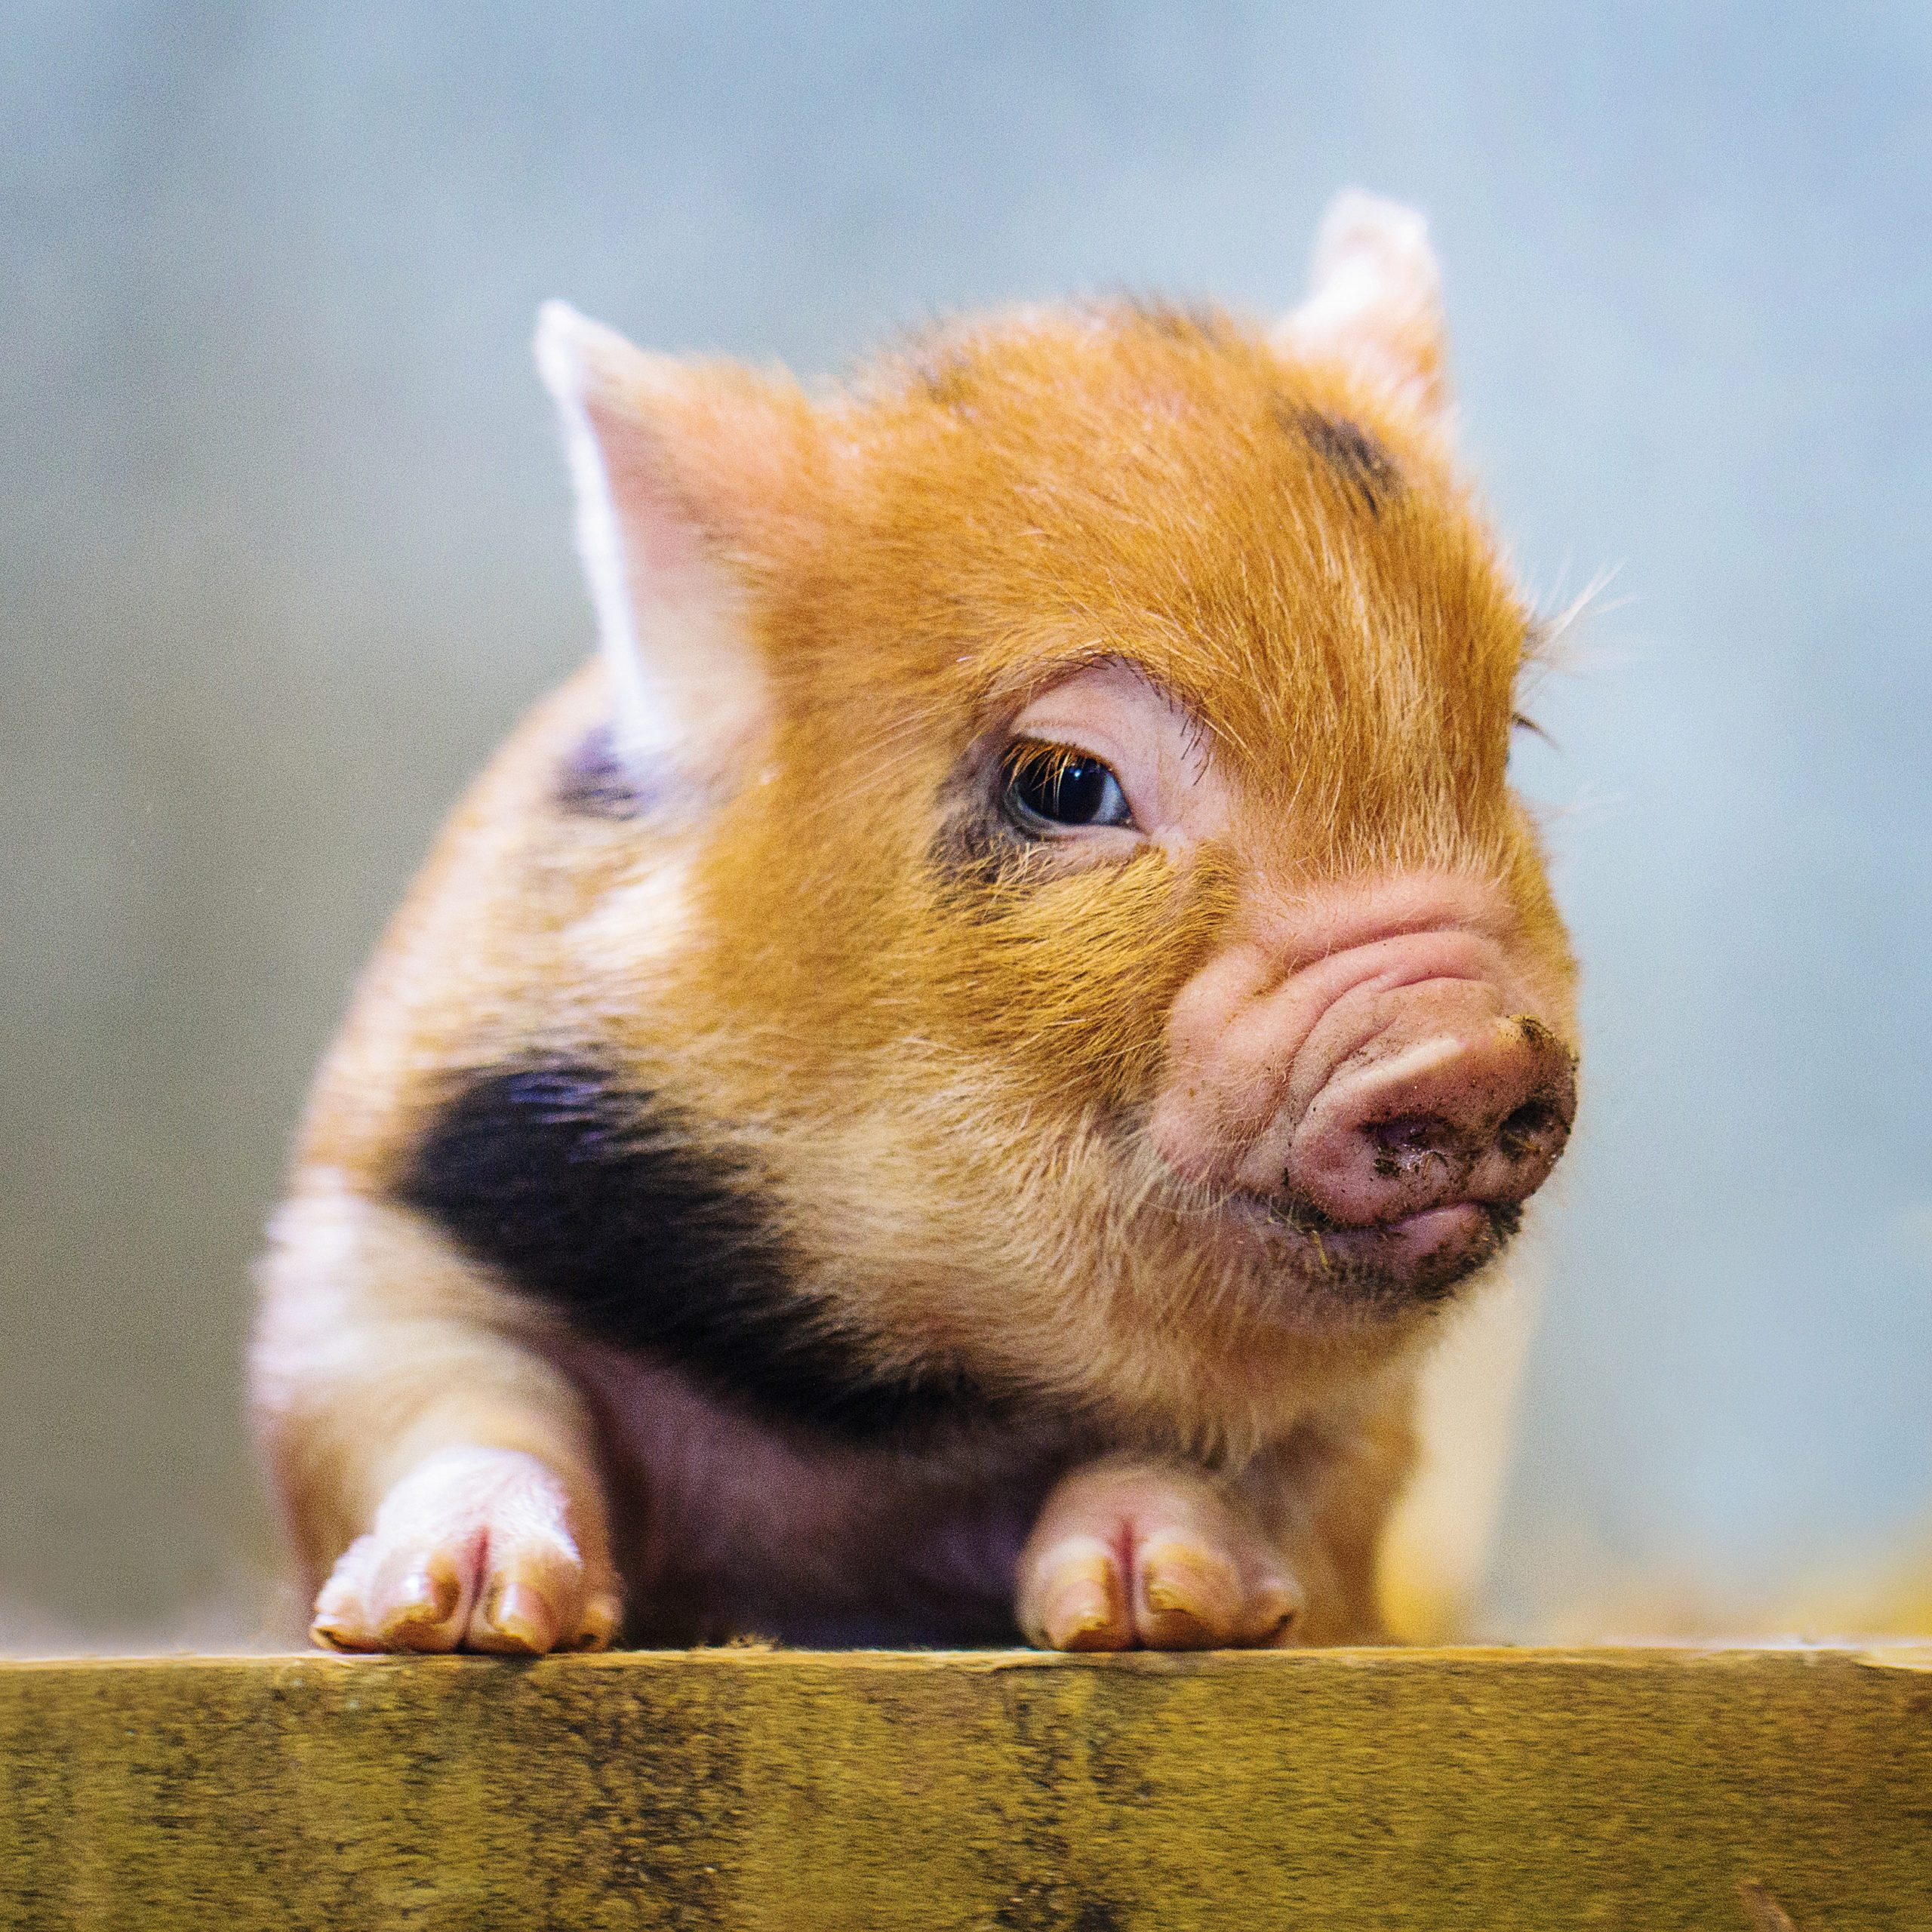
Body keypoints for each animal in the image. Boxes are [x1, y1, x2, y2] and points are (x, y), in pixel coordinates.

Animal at [250, 191, 1578, 1656]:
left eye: (1507, 740)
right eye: (1064, 781)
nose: (1465, 1044)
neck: (885, 1411)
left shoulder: (1362, 1432)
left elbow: (1247, 1462)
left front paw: (1157, 1607)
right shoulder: (379, 1208)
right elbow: (435, 1396)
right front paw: (459, 1617)